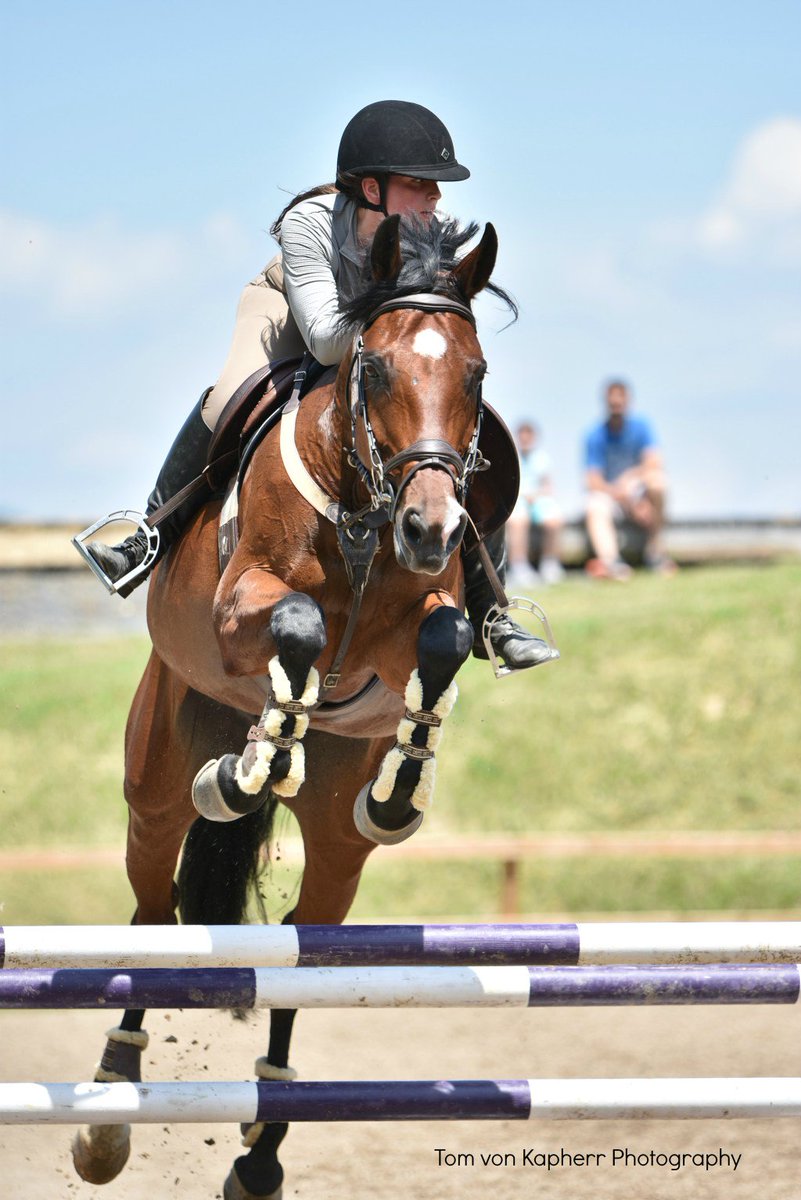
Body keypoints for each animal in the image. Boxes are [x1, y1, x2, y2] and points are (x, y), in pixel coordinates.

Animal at [72, 214, 518, 1200]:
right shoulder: (239, 604)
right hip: (153, 781)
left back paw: (261, 1150)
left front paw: (399, 791)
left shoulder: (414, 624)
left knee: (298, 949)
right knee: (153, 914)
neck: (363, 512)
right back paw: (109, 1107)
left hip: (336, 849)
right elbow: (301, 625)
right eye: (376, 368)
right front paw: (251, 767)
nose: (433, 527)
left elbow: (438, 641)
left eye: (475, 375)